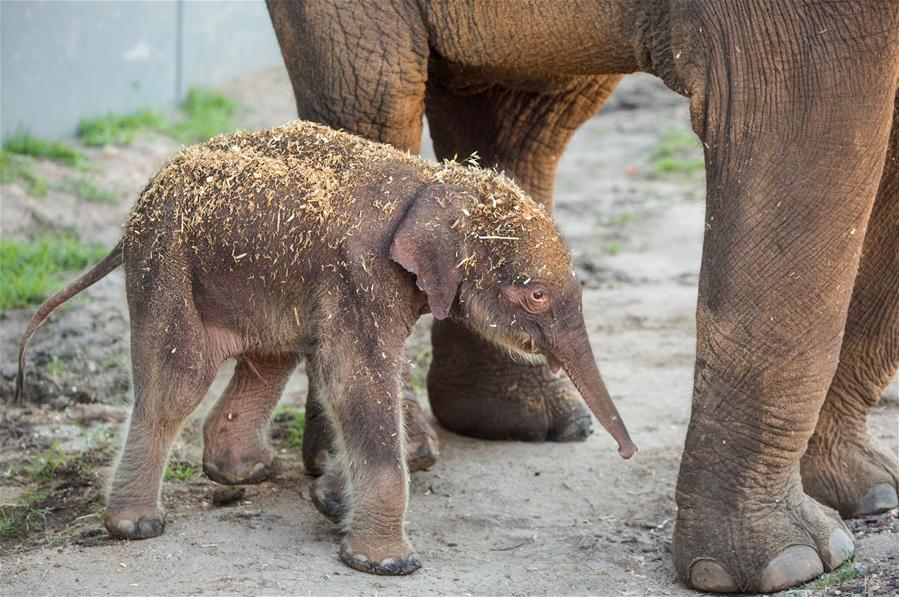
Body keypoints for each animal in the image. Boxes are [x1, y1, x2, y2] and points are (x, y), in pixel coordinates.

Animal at [12, 120, 632, 572]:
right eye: (536, 295)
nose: (627, 454)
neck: (434, 182)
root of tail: (133, 214)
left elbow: (358, 380)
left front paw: (332, 503)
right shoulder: (363, 275)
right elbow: (356, 380)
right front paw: (387, 565)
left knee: (269, 360)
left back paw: (246, 473)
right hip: (166, 269)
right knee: (175, 382)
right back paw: (139, 527)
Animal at [268, 2, 899, 592]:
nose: (628, 453)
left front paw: (866, 497)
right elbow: (805, 120)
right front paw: (787, 566)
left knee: (517, 115)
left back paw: (519, 422)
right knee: (373, 99)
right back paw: (373, 470)